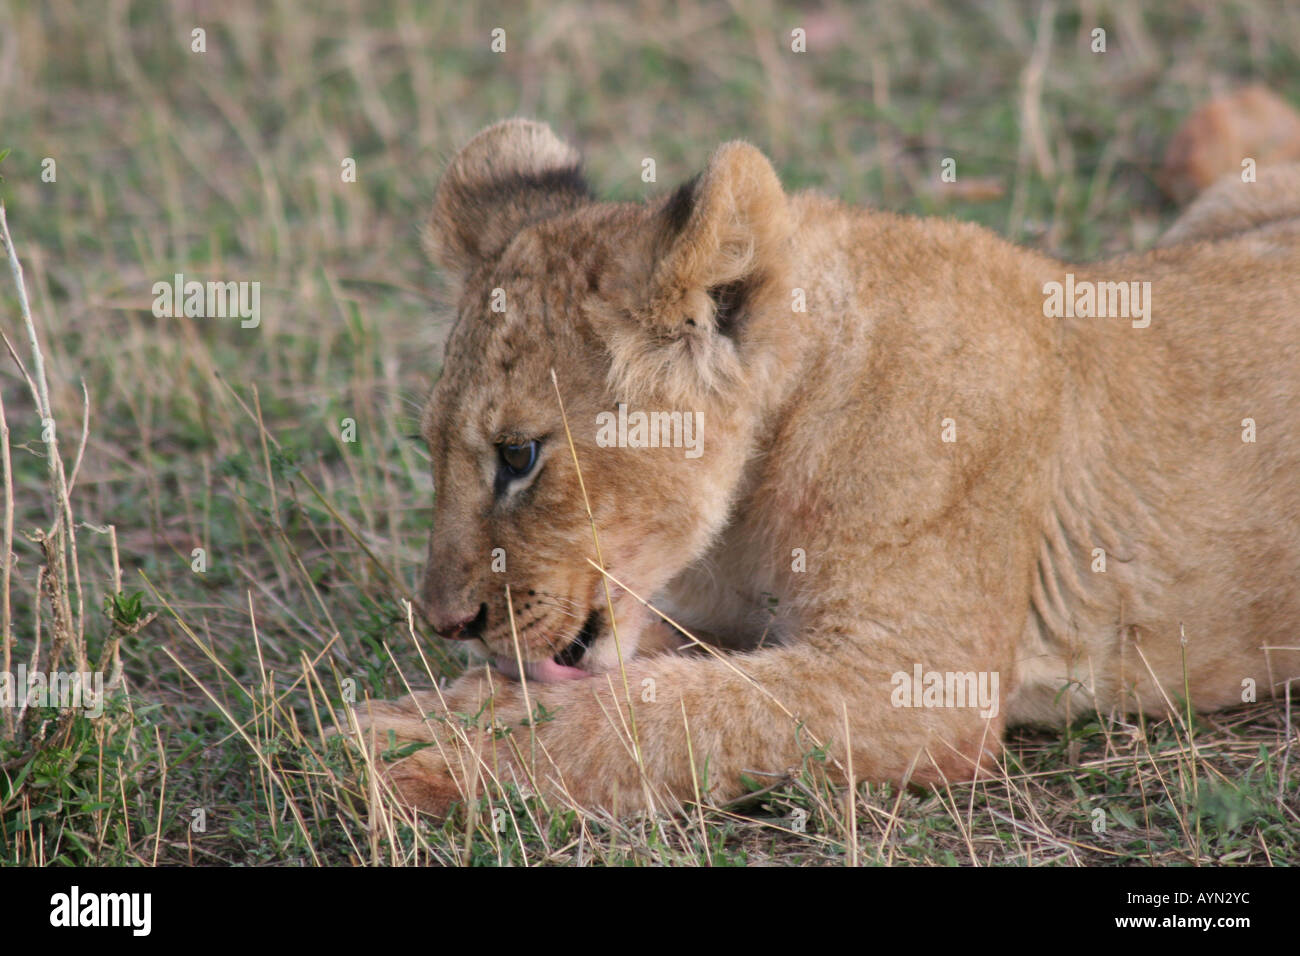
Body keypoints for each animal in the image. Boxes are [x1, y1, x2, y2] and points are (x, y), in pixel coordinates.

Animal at [348, 118, 1300, 816]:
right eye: (433, 447)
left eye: (519, 455)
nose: (445, 623)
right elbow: (658, 678)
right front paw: (447, 708)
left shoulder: (920, 679)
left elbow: (665, 712)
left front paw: (411, 741)